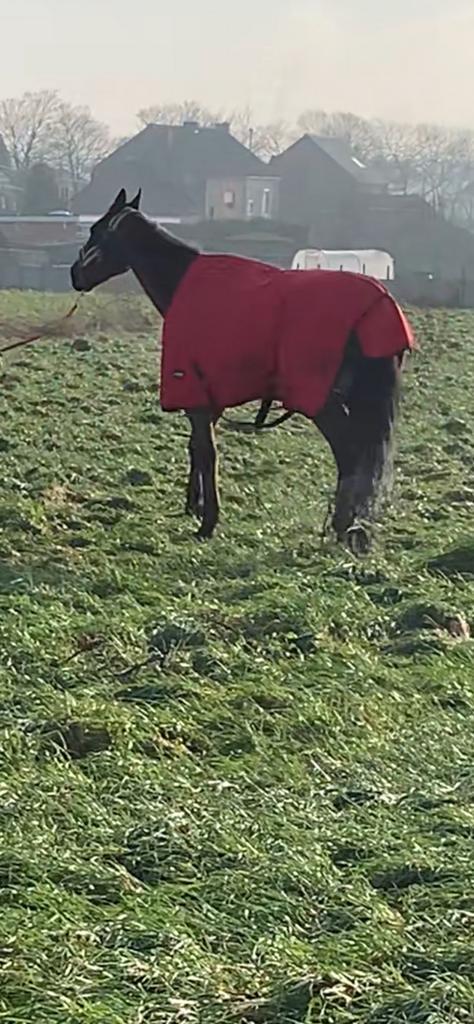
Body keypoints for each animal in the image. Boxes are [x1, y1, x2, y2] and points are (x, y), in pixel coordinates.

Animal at [68, 187, 413, 548]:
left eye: (95, 230)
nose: (75, 274)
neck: (187, 285)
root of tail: (377, 307)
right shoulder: (211, 399)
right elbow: (197, 448)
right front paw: (195, 505)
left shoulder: (196, 395)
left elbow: (207, 452)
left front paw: (208, 521)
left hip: (322, 402)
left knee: (349, 454)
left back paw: (342, 525)